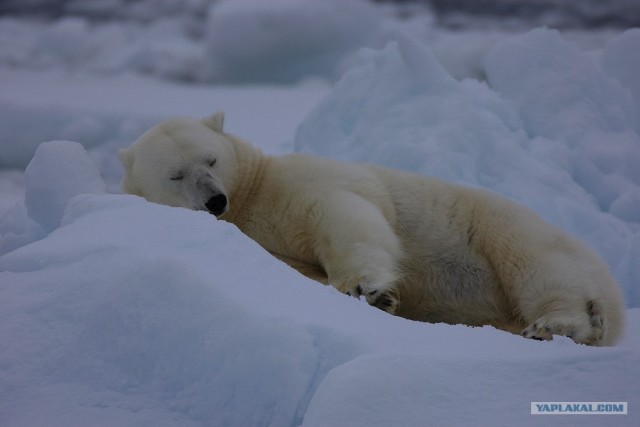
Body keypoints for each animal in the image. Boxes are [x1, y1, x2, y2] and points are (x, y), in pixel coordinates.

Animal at [117, 112, 624, 346]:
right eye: (176, 175)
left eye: (211, 160)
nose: (215, 201)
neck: (254, 193)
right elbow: (296, 267)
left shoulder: (306, 184)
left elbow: (344, 214)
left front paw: (369, 292)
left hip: (504, 227)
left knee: (537, 265)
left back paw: (553, 325)